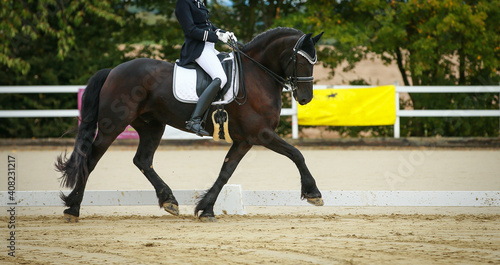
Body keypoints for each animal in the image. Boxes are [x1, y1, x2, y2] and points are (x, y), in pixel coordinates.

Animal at [55, 27, 324, 221]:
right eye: (302, 61)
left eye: (314, 62)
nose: (305, 98)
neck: (257, 74)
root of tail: (113, 70)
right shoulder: (262, 134)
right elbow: (297, 154)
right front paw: (313, 193)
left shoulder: (244, 140)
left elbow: (226, 172)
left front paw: (206, 209)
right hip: (114, 124)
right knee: (91, 159)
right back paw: (73, 208)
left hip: (152, 125)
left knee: (142, 160)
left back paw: (169, 200)